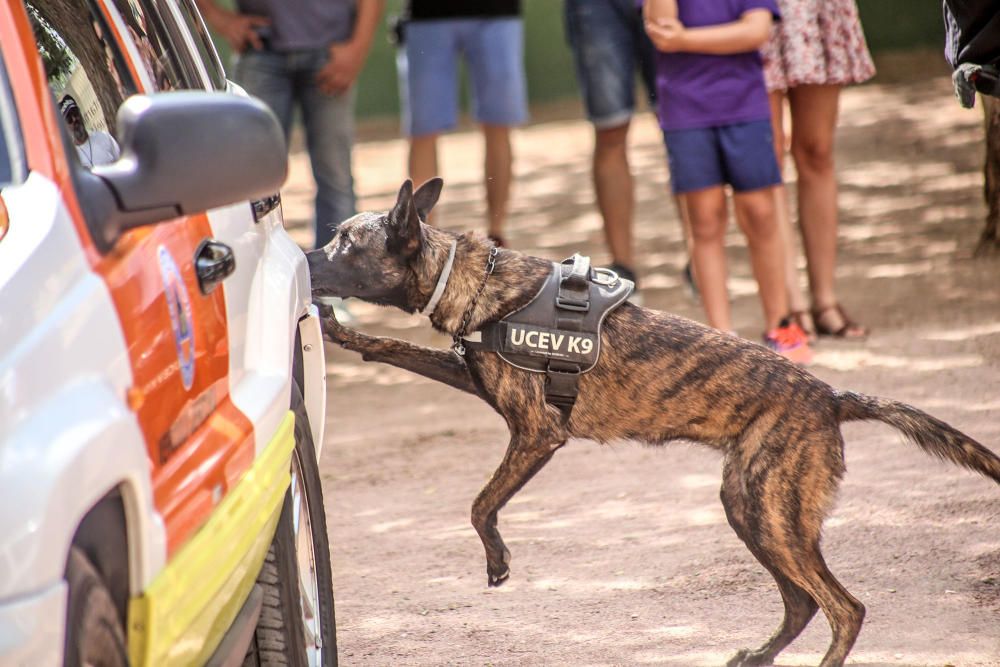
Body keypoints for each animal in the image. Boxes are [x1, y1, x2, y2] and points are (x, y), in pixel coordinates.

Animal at [308, 179, 1000, 667]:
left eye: (344, 243)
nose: (304, 256)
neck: (473, 277)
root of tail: (831, 394)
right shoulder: (473, 378)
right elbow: (392, 349)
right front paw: (341, 331)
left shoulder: (536, 433)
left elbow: (480, 505)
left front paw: (498, 560)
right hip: (751, 510)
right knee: (804, 602)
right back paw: (758, 656)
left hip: (770, 513)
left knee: (844, 608)